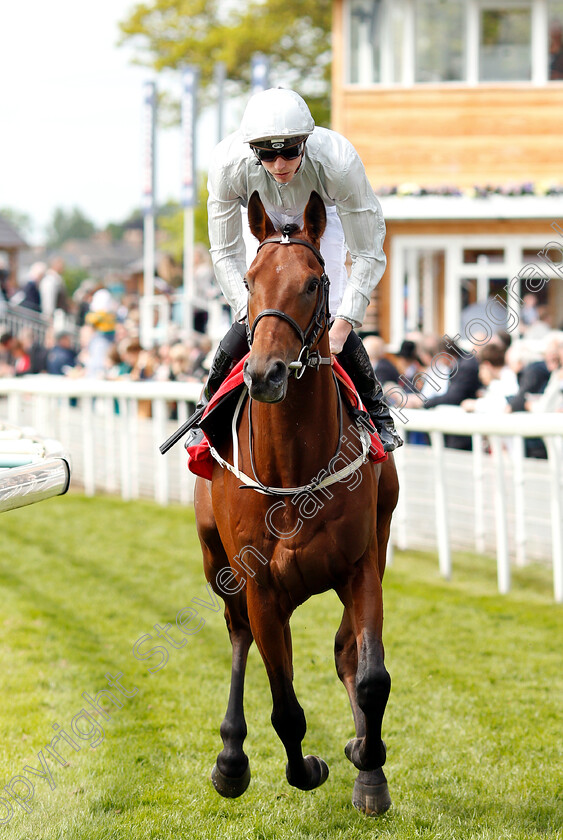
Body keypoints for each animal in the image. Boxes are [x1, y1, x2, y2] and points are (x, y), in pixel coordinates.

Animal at [195, 190, 400, 812]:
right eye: (250, 280)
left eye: (312, 283)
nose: (266, 373)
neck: (293, 470)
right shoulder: (260, 586)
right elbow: (285, 706)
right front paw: (304, 767)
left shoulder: (361, 566)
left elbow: (370, 675)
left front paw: (366, 762)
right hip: (218, 566)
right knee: (239, 635)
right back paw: (231, 759)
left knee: (344, 651)